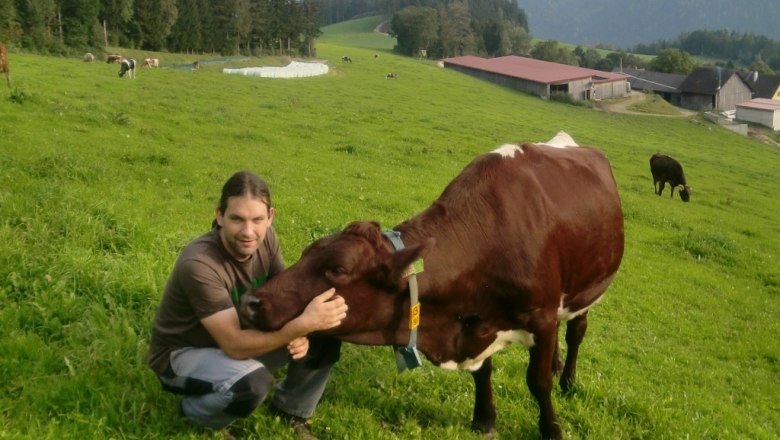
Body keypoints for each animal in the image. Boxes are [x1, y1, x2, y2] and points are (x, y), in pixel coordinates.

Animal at [239, 133, 625, 439]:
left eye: (337, 269)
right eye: (307, 252)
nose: (251, 302)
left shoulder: (540, 316)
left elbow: (538, 381)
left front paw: (552, 429)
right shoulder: (477, 318)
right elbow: (484, 372)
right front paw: (484, 419)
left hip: (591, 289)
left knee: (576, 331)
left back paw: (568, 380)